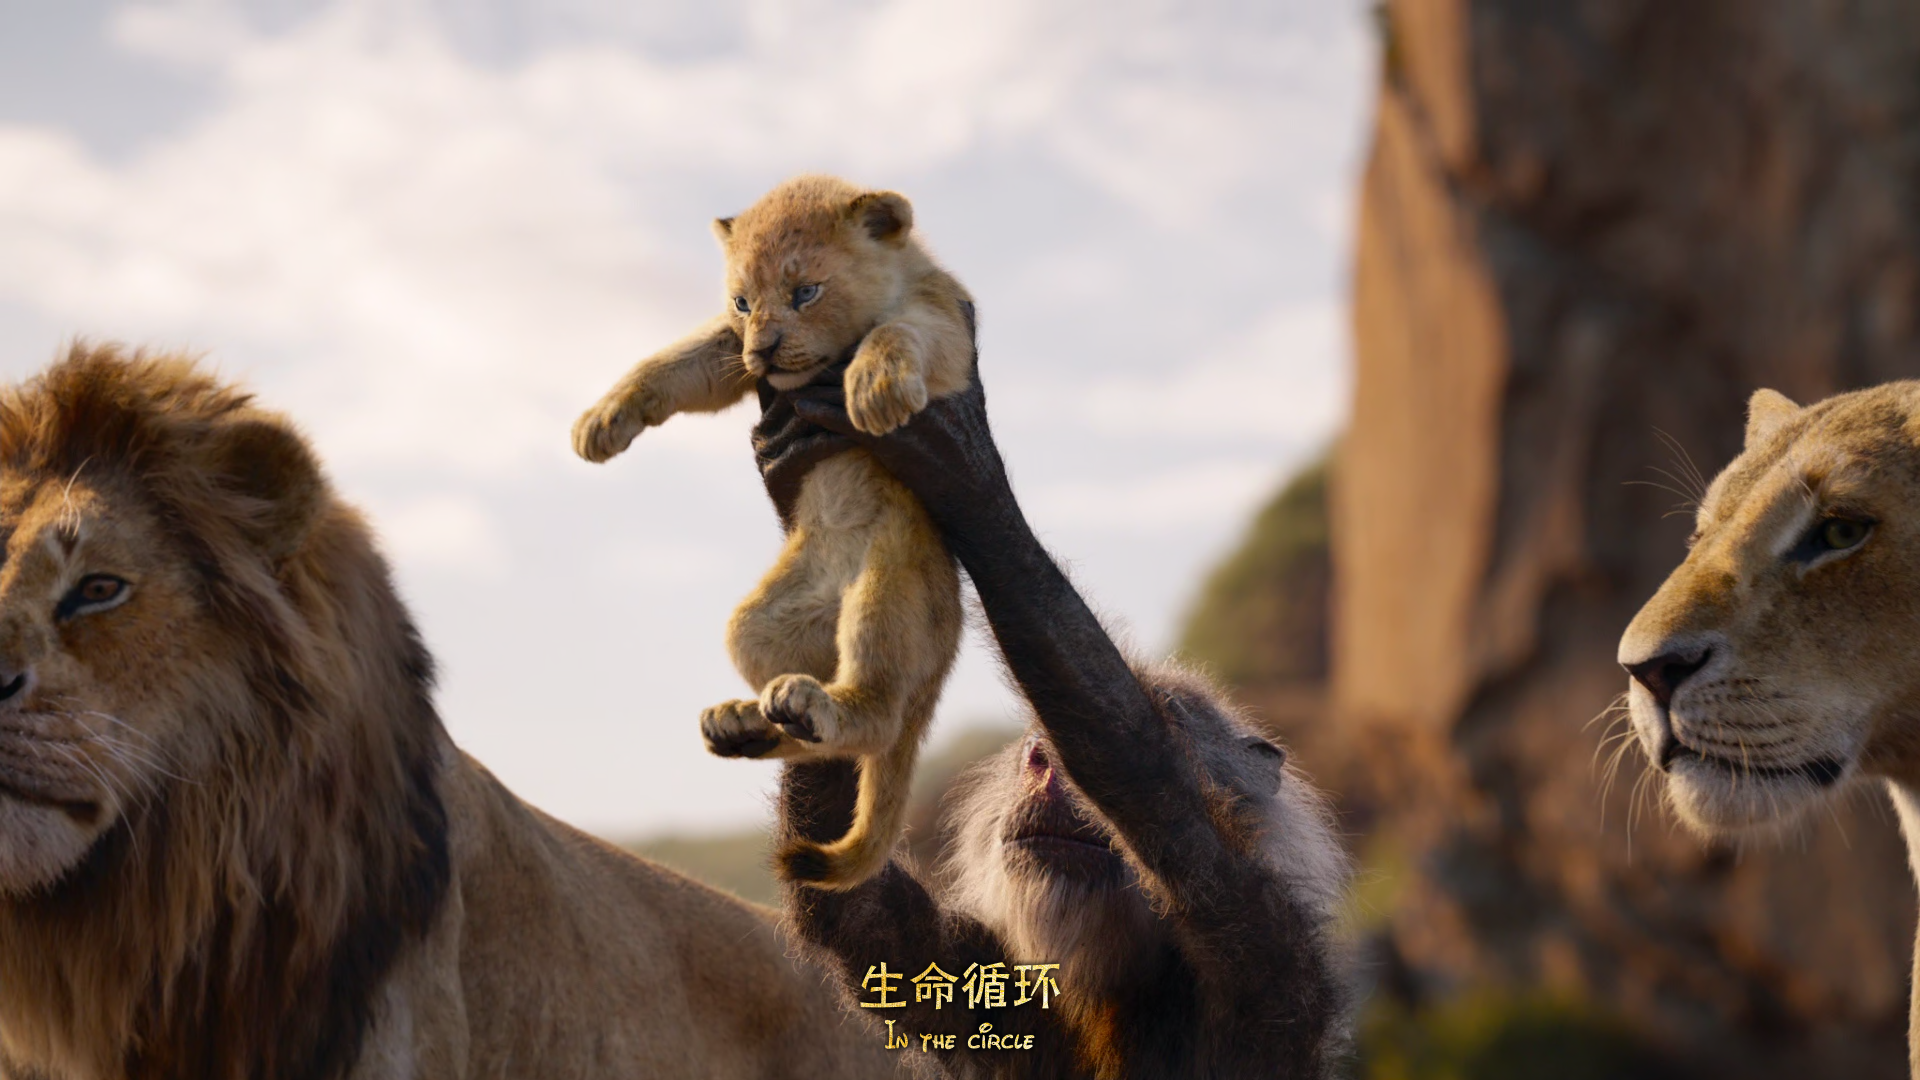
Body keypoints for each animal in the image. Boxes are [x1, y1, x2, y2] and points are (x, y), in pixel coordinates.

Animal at [572, 174, 972, 890]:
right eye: (741, 301)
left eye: (804, 291)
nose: (763, 348)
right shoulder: (730, 354)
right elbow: (677, 360)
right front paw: (603, 421)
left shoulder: (949, 323)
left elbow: (899, 330)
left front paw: (874, 386)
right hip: (763, 621)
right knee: (815, 739)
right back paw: (749, 723)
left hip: (893, 582)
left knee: (878, 719)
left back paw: (820, 708)